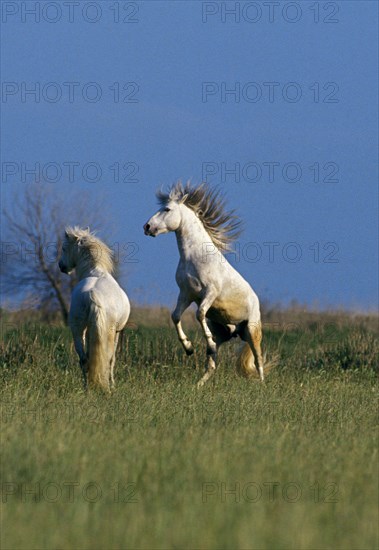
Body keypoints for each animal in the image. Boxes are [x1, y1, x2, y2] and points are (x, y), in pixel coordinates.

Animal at [58, 226, 131, 390]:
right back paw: (107, 387)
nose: (61, 266)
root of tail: (92, 294)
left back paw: (87, 388)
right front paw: (112, 384)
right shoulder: (117, 331)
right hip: (108, 332)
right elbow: (112, 360)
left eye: (64, 248)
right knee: (106, 359)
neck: (95, 271)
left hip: (78, 329)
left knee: (85, 360)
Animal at [145, 182, 268, 388]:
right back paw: (197, 386)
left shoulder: (210, 293)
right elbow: (175, 316)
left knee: (258, 359)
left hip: (252, 330)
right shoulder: (186, 294)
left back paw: (262, 385)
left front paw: (205, 344)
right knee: (211, 365)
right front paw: (188, 348)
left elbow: (199, 313)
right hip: (223, 332)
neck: (195, 256)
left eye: (167, 209)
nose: (147, 227)